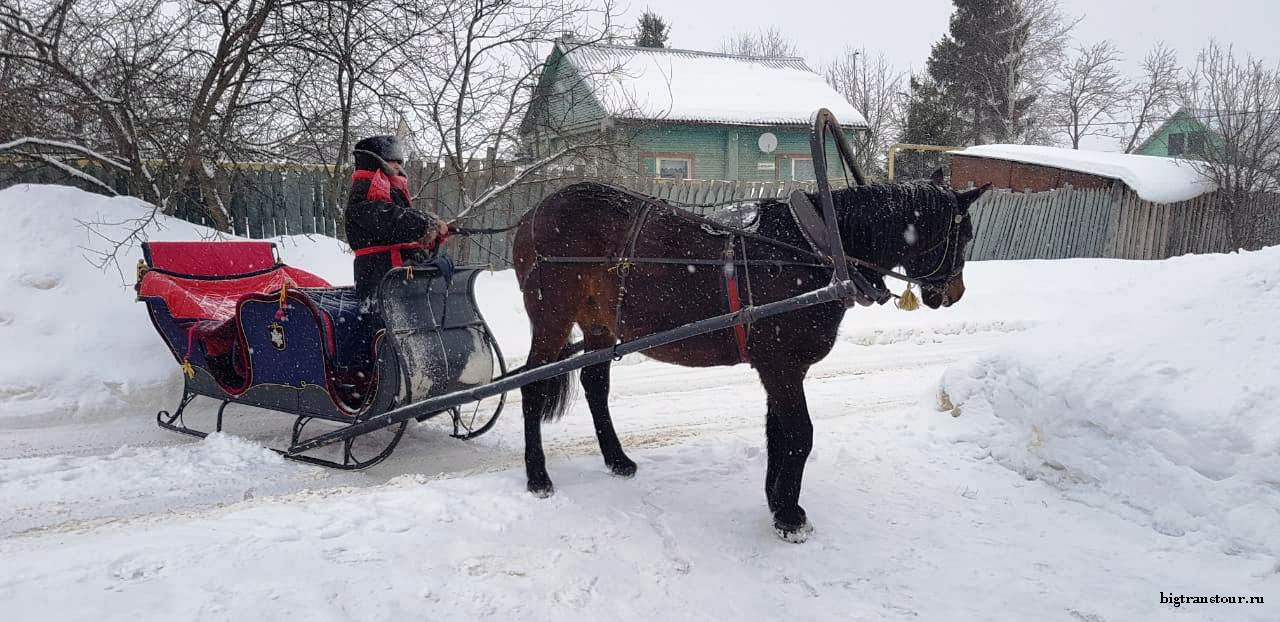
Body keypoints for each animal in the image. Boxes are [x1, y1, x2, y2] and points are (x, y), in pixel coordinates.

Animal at [509, 174, 988, 540]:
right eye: (964, 234)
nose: (955, 293)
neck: (814, 251)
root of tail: (532, 215)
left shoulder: (780, 368)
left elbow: (778, 432)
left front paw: (777, 501)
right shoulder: (781, 364)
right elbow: (799, 434)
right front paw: (791, 517)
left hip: (599, 327)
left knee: (595, 385)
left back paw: (617, 459)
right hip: (552, 320)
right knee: (531, 387)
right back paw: (538, 476)